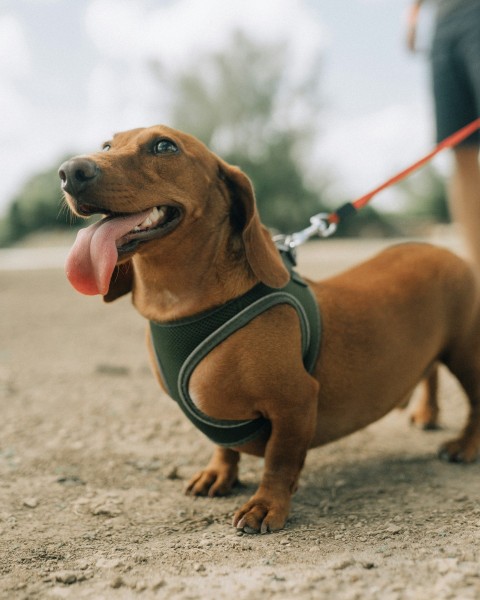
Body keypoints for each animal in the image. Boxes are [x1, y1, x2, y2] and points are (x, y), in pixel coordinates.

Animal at [60, 125, 480, 536]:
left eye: (165, 146)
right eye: (106, 145)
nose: (69, 172)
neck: (181, 309)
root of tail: (444, 250)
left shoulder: (295, 402)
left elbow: (280, 460)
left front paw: (266, 505)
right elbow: (223, 445)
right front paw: (219, 473)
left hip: (466, 354)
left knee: (475, 403)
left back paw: (464, 446)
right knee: (430, 371)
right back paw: (427, 412)